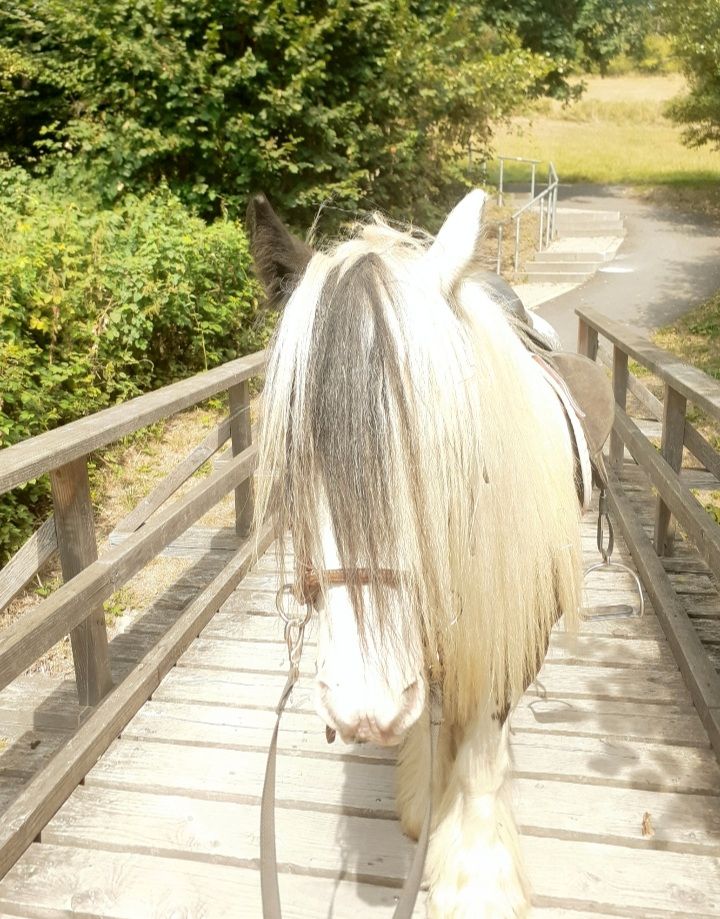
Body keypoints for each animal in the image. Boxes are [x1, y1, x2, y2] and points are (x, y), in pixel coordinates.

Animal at [248, 190, 584, 916]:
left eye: (446, 451)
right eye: (292, 461)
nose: (362, 706)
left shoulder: (514, 625)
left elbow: (484, 745)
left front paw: (476, 880)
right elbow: (435, 717)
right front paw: (424, 798)